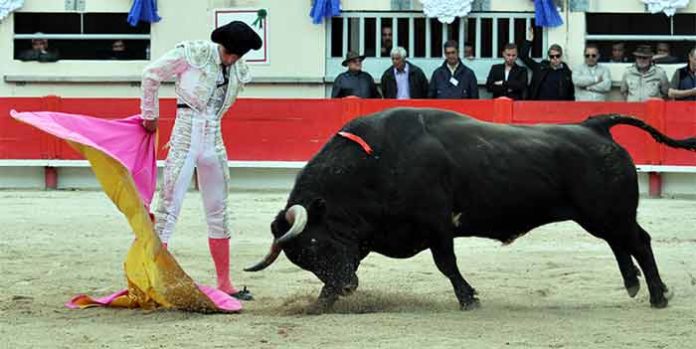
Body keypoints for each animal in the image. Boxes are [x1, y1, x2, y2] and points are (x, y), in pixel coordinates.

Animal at [245, 107, 696, 312]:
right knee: (622, 244)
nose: (347, 289)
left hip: (607, 213)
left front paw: (469, 299)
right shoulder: (366, 240)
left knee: (638, 241)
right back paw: (635, 286)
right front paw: (319, 304)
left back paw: (657, 295)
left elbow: (447, 264)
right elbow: (350, 264)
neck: (375, 163)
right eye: (302, 258)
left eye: (315, 244)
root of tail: (594, 125)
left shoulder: (436, 226)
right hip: (601, 216)